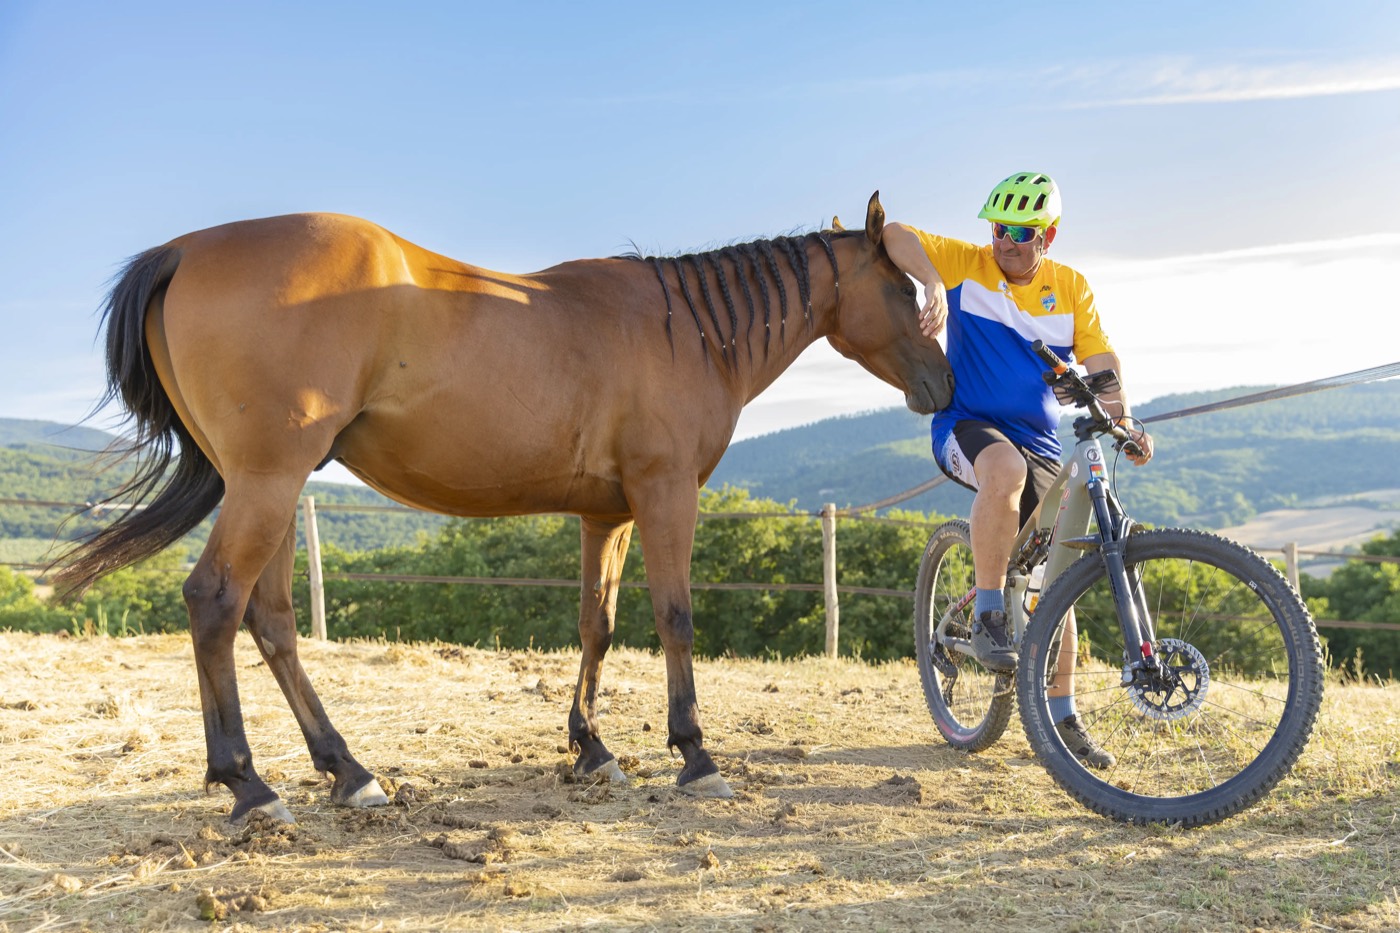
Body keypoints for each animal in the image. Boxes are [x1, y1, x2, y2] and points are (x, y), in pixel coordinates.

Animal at [56, 192, 954, 823]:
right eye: (902, 287)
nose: (944, 384)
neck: (687, 329)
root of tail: (184, 250)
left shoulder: (608, 515)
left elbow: (598, 623)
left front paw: (591, 748)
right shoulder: (665, 495)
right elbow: (675, 616)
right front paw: (695, 755)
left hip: (271, 486)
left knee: (269, 618)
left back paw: (348, 771)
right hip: (267, 482)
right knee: (215, 602)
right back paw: (249, 784)